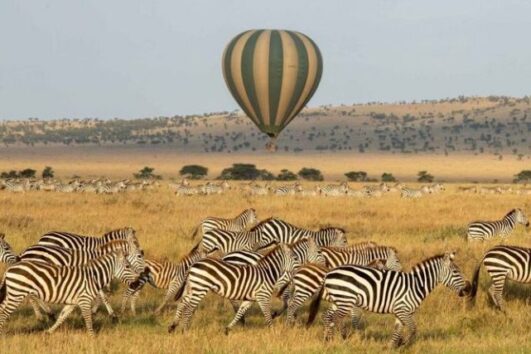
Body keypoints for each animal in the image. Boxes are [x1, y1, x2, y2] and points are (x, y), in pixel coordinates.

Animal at [0, 250, 140, 336]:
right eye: (127, 266)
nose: (137, 283)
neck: (93, 276)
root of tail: (9, 269)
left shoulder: (72, 302)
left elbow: (62, 317)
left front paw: (48, 332)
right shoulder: (84, 300)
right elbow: (88, 319)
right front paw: (93, 337)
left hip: (12, 294)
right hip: (16, 294)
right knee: (4, 312)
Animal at [166, 245, 302, 334]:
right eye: (295, 258)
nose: (301, 268)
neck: (267, 272)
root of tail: (193, 265)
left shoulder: (250, 299)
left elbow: (239, 312)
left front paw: (228, 329)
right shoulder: (262, 296)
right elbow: (267, 314)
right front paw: (273, 331)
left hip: (191, 288)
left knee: (182, 303)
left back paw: (173, 326)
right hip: (200, 288)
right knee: (188, 308)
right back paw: (184, 331)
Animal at [306, 252, 472, 346]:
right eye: (456, 272)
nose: (467, 290)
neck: (416, 285)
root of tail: (329, 273)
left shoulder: (401, 312)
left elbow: (397, 331)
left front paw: (392, 346)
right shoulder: (403, 309)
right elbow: (413, 329)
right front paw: (403, 344)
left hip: (337, 300)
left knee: (327, 317)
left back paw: (328, 340)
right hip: (345, 300)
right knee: (336, 318)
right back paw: (343, 338)